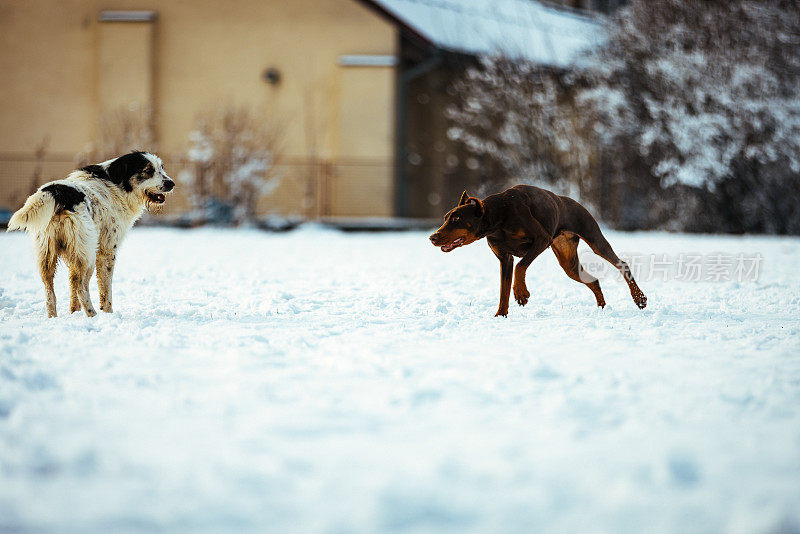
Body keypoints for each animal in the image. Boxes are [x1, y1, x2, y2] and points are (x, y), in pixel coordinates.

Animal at [7, 151, 173, 318]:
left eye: (161, 168)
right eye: (148, 170)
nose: (171, 184)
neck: (118, 184)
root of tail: (58, 192)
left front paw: (74, 312)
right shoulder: (107, 251)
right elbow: (105, 290)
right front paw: (108, 314)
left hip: (49, 253)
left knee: (50, 289)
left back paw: (53, 317)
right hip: (86, 253)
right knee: (79, 284)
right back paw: (92, 313)